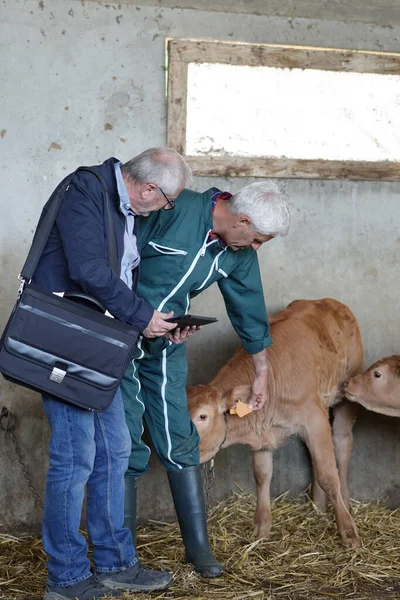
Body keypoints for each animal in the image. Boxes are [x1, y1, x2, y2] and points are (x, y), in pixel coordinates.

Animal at [189, 298, 364, 548]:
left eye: (202, 416)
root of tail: (326, 301)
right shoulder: (263, 434)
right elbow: (262, 476)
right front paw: (261, 530)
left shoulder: (314, 420)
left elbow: (329, 476)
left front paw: (348, 533)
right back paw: (318, 506)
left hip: (347, 395)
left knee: (342, 443)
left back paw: (345, 504)